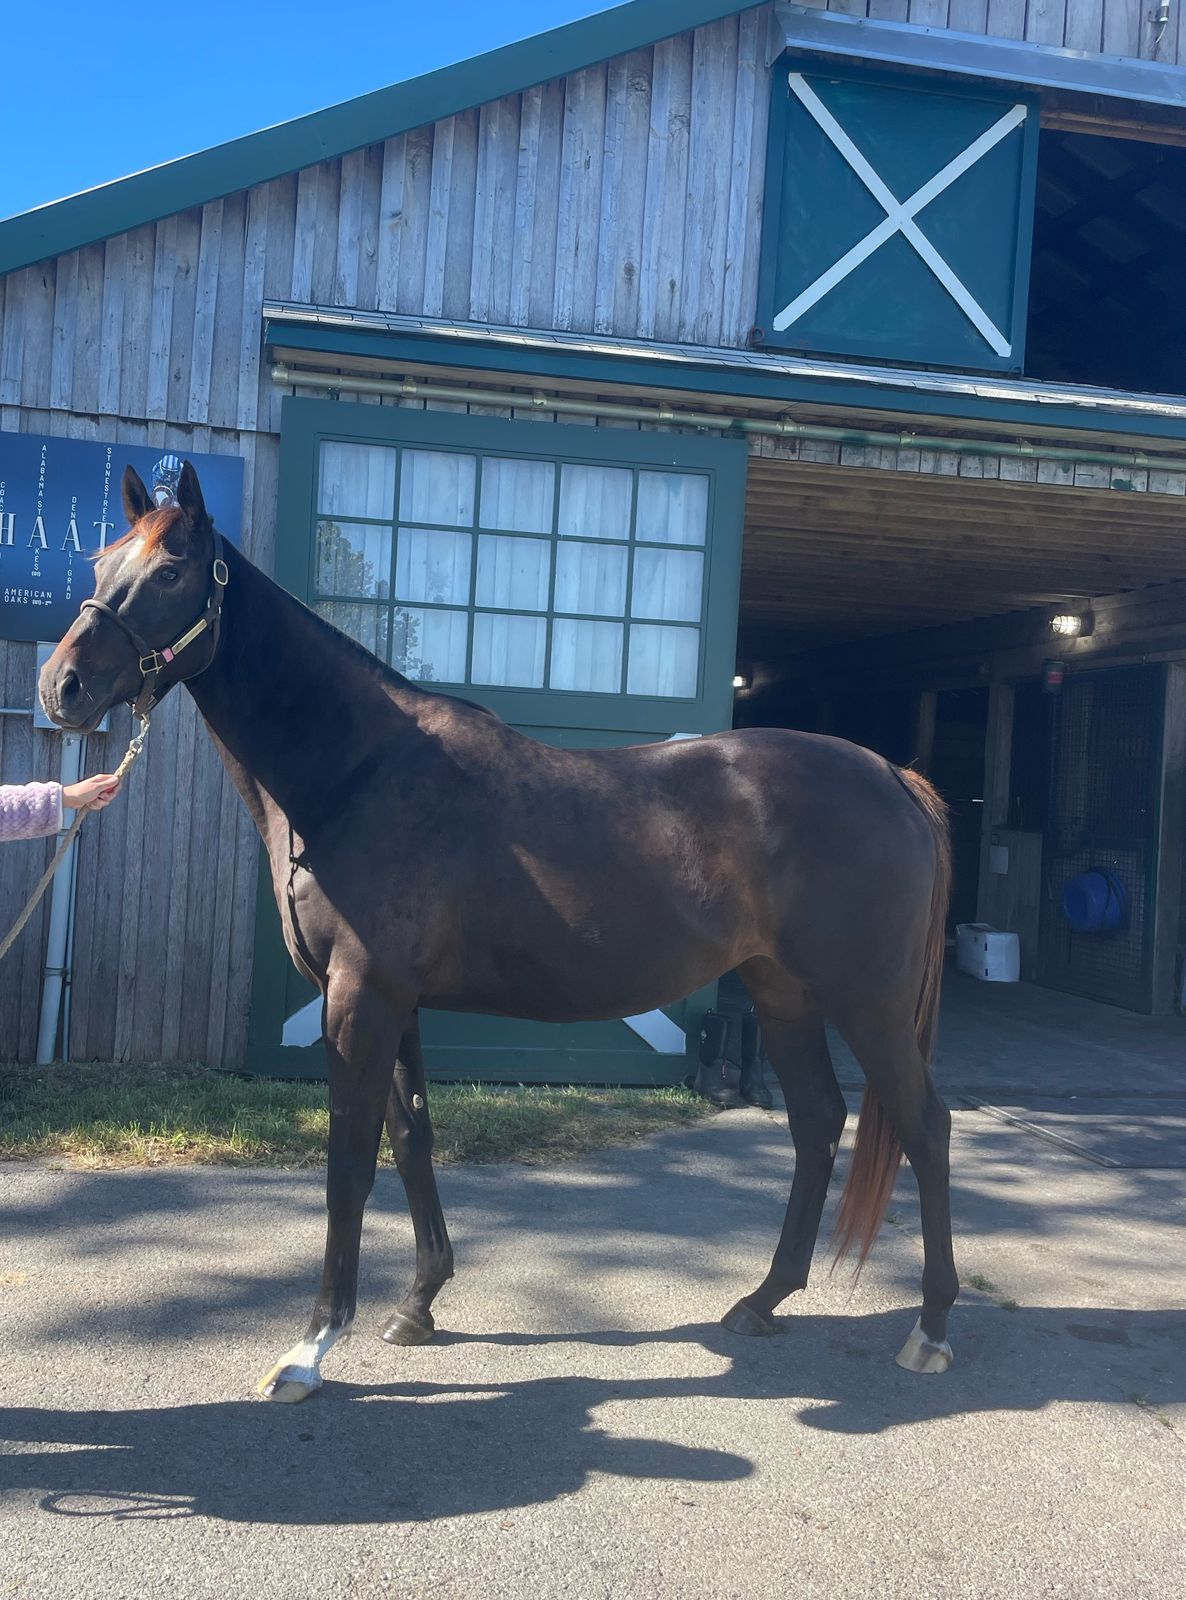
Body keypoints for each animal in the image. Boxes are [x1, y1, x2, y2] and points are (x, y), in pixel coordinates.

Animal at [40, 461, 957, 1403]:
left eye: (172, 571)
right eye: (103, 561)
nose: (61, 687)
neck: (358, 772)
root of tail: (892, 776)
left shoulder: (360, 1002)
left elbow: (348, 1165)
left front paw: (312, 1344)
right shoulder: (394, 1003)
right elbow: (412, 1139)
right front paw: (418, 1304)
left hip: (871, 1004)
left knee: (925, 1128)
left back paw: (928, 1328)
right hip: (784, 993)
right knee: (816, 1123)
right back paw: (763, 1299)